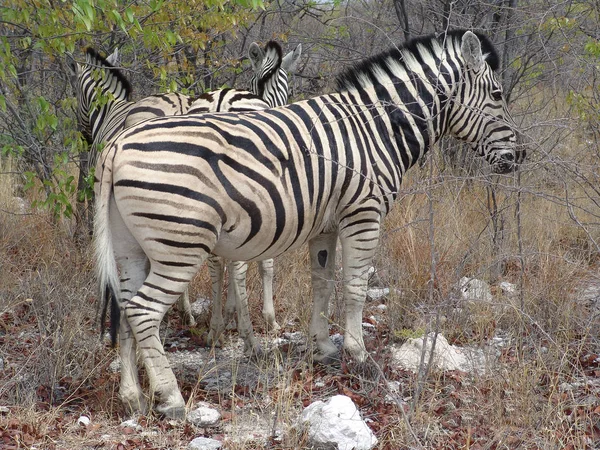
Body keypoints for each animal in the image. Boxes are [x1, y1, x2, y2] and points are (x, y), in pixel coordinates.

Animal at [92, 29, 524, 418]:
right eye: (497, 95)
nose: (520, 155)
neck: (377, 130)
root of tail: (117, 146)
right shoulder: (363, 214)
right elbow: (355, 286)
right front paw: (358, 352)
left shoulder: (326, 226)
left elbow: (323, 282)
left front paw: (324, 346)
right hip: (180, 246)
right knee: (144, 311)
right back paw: (171, 398)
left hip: (131, 249)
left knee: (126, 307)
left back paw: (133, 397)